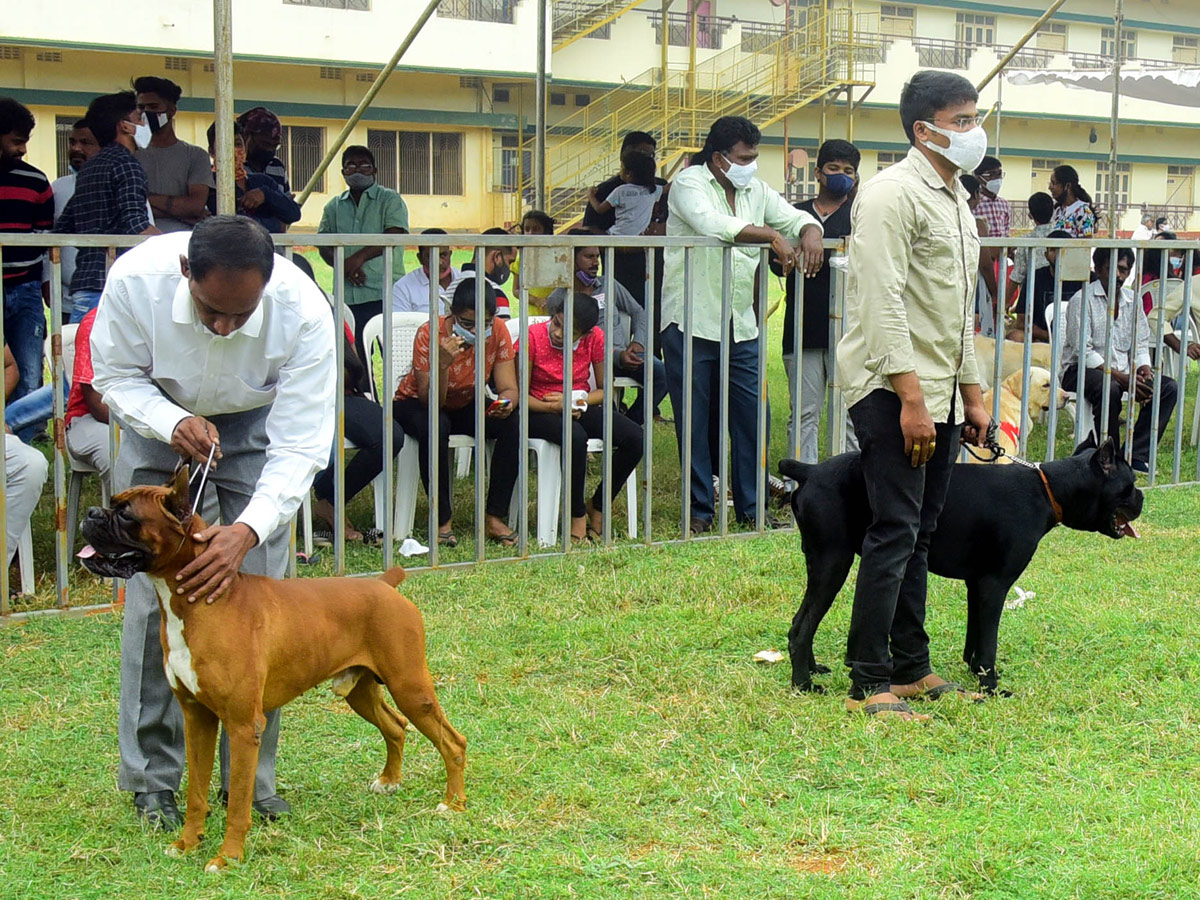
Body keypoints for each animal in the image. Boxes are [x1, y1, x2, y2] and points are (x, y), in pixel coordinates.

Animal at [77, 472, 465, 873]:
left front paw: (227, 857)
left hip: (410, 687)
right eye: (114, 503)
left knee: (453, 742)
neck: (198, 602)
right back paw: (389, 782)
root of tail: (385, 583)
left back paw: (452, 804)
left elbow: (237, 802)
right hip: (360, 692)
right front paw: (187, 844)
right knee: (396, 726)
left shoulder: (243, 726)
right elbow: (196, 792)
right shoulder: (197, 718)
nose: (91, 513)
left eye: (126, 515)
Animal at [777, 441, 1142, 696]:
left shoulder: (976, 585)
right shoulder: (995, 585)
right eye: (1131, 482)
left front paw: (974, 669)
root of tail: (810, 471)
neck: (1048, 488)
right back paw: (804, 685)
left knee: (803, 621)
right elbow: (989, 640)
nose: (1141, 496)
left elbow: (975, 635)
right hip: (833, 563)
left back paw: (813, 669)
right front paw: (991, 687)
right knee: (801, 627)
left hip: (821, 563)